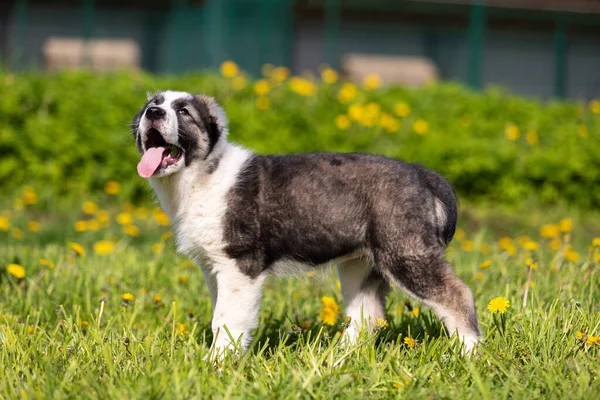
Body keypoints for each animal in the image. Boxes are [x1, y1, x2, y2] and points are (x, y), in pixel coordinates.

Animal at [132, 90, 482, 356]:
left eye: (183, 111)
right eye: (153, 104)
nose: (153, 112)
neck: (203, 174)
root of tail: (422, 173)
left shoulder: (240, 265)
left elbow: (227, 318)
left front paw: (217, 363)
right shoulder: (213, 267)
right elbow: (223, 313)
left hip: (406, 254)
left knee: (458, 296)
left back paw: (469, 354)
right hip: (361, 265)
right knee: (366, 316)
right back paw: (338, 359)